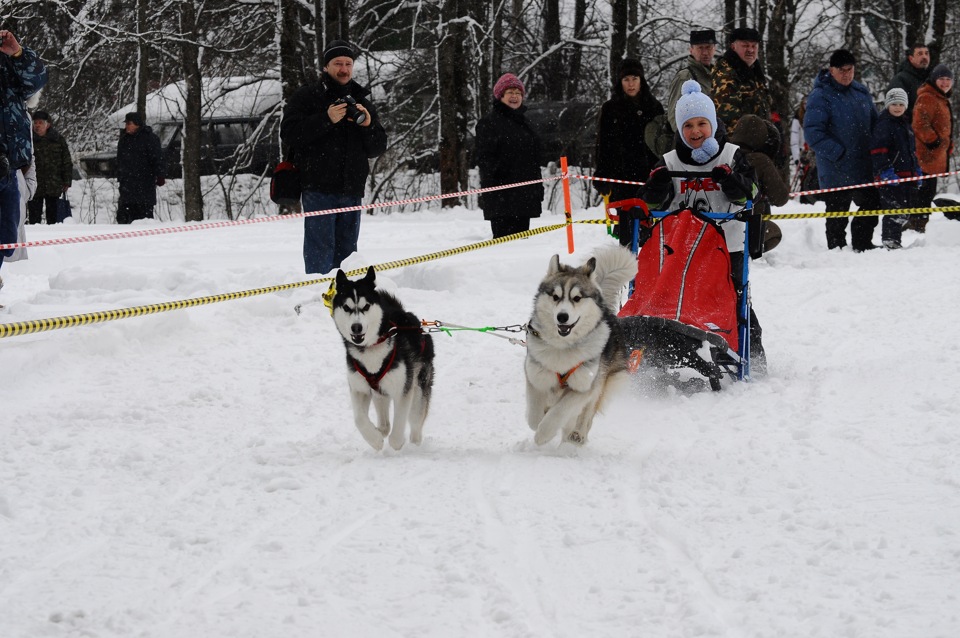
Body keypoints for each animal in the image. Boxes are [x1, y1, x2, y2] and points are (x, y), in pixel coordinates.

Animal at [330, 268, 436, 452]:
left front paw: (396, 442)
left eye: (366, 306)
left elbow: (399, 423)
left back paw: (415, 445)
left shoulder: (403, 390)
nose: (356, 327)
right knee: (385, 424)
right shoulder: (359, 389)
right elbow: (359, 419)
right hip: (380, 395)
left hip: (419, 391)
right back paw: (380, 430)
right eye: (346, 307)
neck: (371, 349)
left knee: (415, 423)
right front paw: (375, 440)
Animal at [524, 248, 636, 448]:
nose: (562, 317)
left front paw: (544, 434)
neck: (563, 347)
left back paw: (577, 435)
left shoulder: (584, 387)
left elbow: (560, 411)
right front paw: (540, 421)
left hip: (601, 380)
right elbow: (534, 417)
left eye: (577, 298)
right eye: (555, 296)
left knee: (585, 415)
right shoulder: (536, 377)